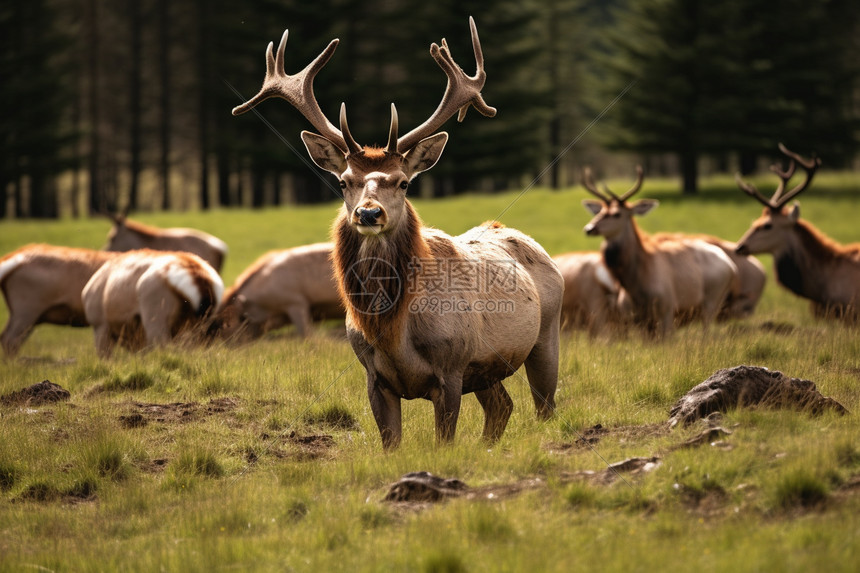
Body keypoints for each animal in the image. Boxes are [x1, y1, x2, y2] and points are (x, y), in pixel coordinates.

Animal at [232, 17, 564, 449]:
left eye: (404, 182)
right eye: (343, 181)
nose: (369, 212)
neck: (393, 332)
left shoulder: (451, 369)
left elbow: (445, 440)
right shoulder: (375, 378)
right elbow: (390, 443)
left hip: (546, 336)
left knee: (545, 407)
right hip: (485, 369)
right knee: (502, 406)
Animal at [581, 166, 737, 338]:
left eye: (617, 214)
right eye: (599, 211)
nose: (589, 228)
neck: (635, 285)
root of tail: (731, 265)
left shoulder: (668, 308)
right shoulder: (636, 317)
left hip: (713, 300)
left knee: (707, 333)